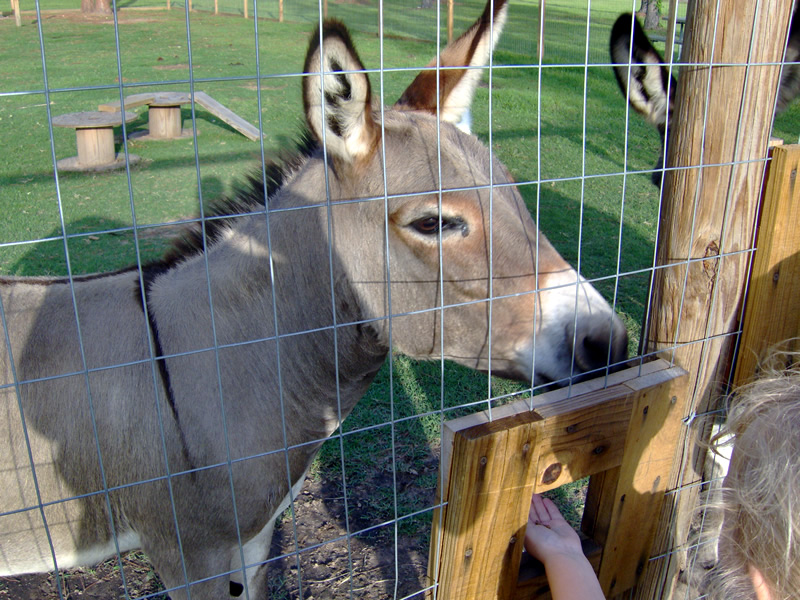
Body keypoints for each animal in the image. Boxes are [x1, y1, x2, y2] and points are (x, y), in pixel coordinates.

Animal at [0, 3, 628, 598]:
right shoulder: (189, 552)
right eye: (433, 223)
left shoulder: (254, 541)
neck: (217, 361)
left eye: (515, 195)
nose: (610, 340)